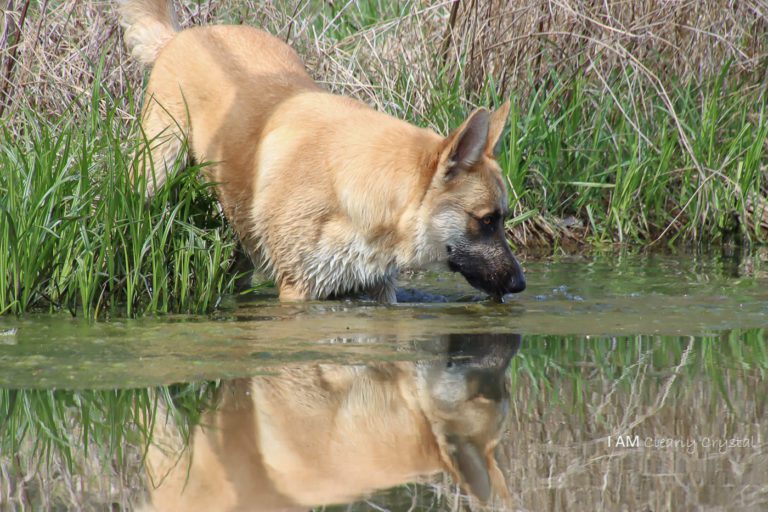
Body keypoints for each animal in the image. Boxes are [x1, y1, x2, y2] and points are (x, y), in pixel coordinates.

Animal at [118, 0, 528, 302]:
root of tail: (182, 37)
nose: (520, 284)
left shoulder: (378, 291)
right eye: (487, 220)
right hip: (155, 170)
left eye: (502, 218)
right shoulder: (298, 291)